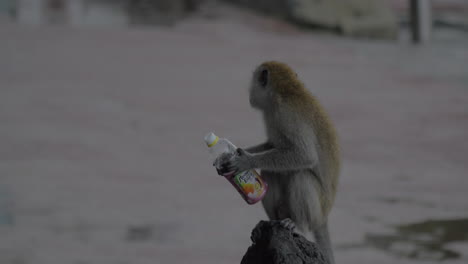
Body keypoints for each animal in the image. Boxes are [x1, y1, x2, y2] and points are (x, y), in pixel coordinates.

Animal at [216, 60, 340, 264]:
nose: (249, 93)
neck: (286, 91)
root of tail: (324, 218)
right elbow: (273, 145)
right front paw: (231, 155)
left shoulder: (285, 115)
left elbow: (304, 156)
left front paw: (246, 161)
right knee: (271, 172)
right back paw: (274, 221)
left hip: (317, 211)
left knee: (300, 176)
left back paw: (296, 223)